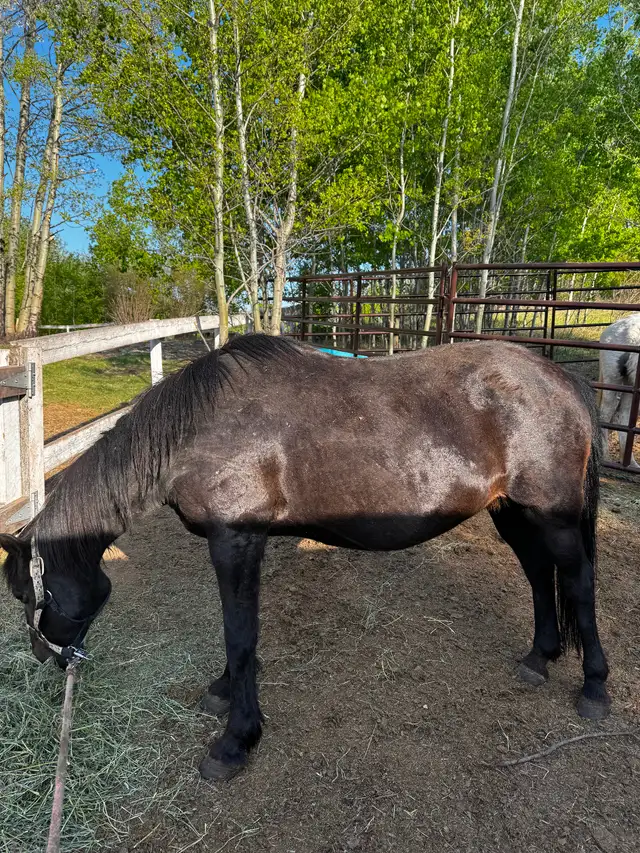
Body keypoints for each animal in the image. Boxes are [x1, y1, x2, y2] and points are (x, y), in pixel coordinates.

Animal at [0, 334, 610, 781]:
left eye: (25, 591)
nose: (45, 656)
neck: (197, 431)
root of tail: (563, 380)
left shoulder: (236, 540)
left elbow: (240, 635)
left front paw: (235, 742)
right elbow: (237, 634)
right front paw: (223, 693)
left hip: (552, 516)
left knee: (578, 581)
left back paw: (595, 687)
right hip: (513, 511)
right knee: (539, 575)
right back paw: (539, 657)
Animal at [598, 312, 640, 468]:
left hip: (630, 384)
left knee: (624, 417)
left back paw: (630, 463)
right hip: (613, 378)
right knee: (606, 414)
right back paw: (605, 457)